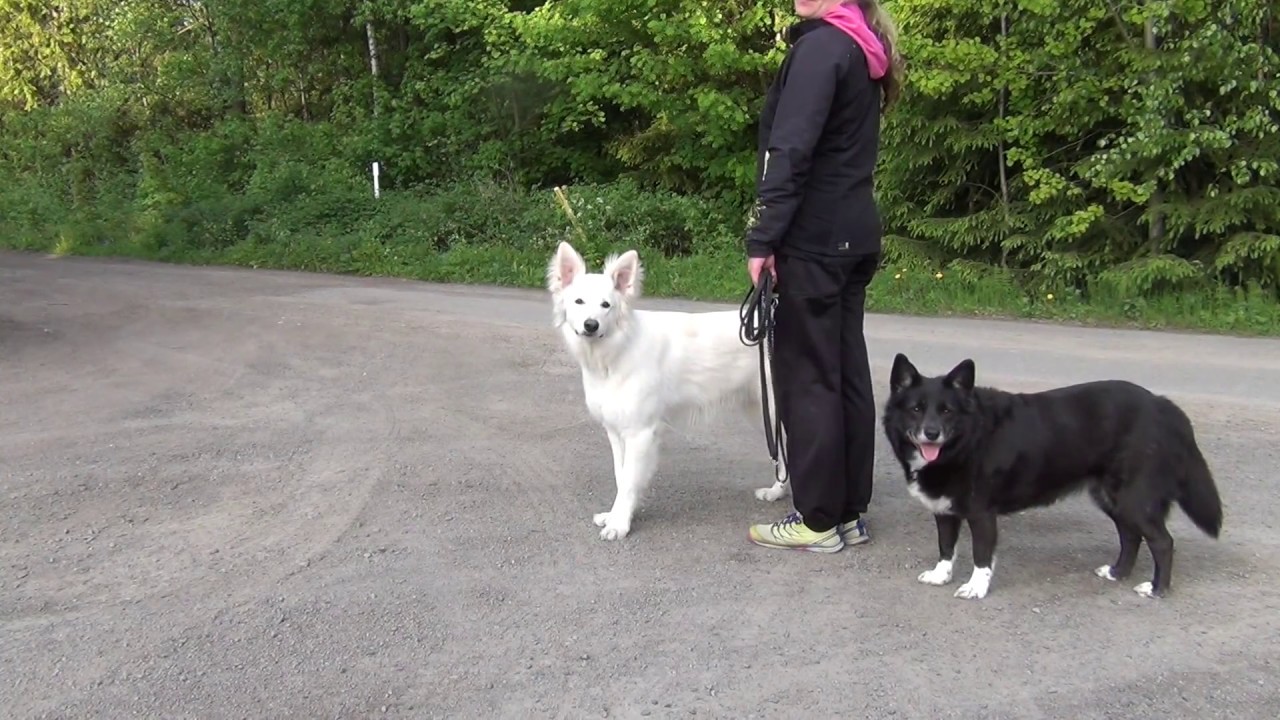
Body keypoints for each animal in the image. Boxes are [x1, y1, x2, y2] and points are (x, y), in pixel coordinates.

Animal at [542, 240, 783, 538]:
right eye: (579, 302)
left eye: (606, 305)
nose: (590, 325)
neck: (619, 350)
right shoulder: (616, 432)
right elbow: (621, 477)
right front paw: (615, 516)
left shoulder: (640, 433)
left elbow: (629, 481)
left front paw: (619, 525)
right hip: (763, 414)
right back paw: (777, 492)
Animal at [880, 351, 1218, 597]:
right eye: (916, 409)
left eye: (947, 411)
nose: (931, 433)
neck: (966, 440)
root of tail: (1161, 404)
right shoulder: (945, 509)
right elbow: (946, 546)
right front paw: (941, 576)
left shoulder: (981, 513)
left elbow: (981, 554)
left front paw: (976, 588)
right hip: (1111, 497)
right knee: (1130, 535)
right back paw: (1116, 572)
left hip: (1135, 497)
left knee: (1162, 542)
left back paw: (1157, 589)